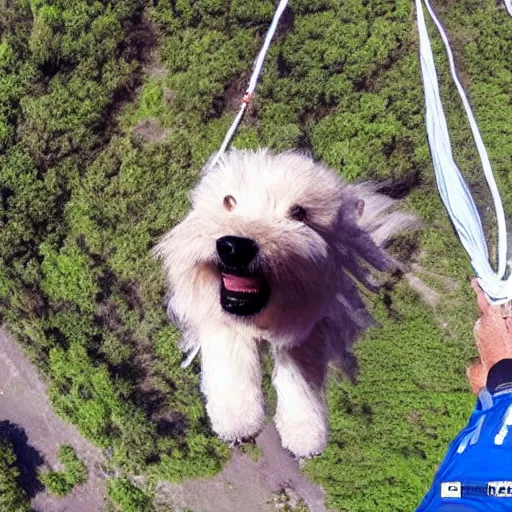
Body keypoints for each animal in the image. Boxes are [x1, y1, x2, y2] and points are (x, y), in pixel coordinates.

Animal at [155, 147, 416, 456]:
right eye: (228, 201)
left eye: (299, 213)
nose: (236, 247)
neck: (259, 316)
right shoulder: (218, 316)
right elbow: (230, 357)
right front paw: (237, 418)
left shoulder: (310, 320)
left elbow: (299, 374)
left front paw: (304, 430)